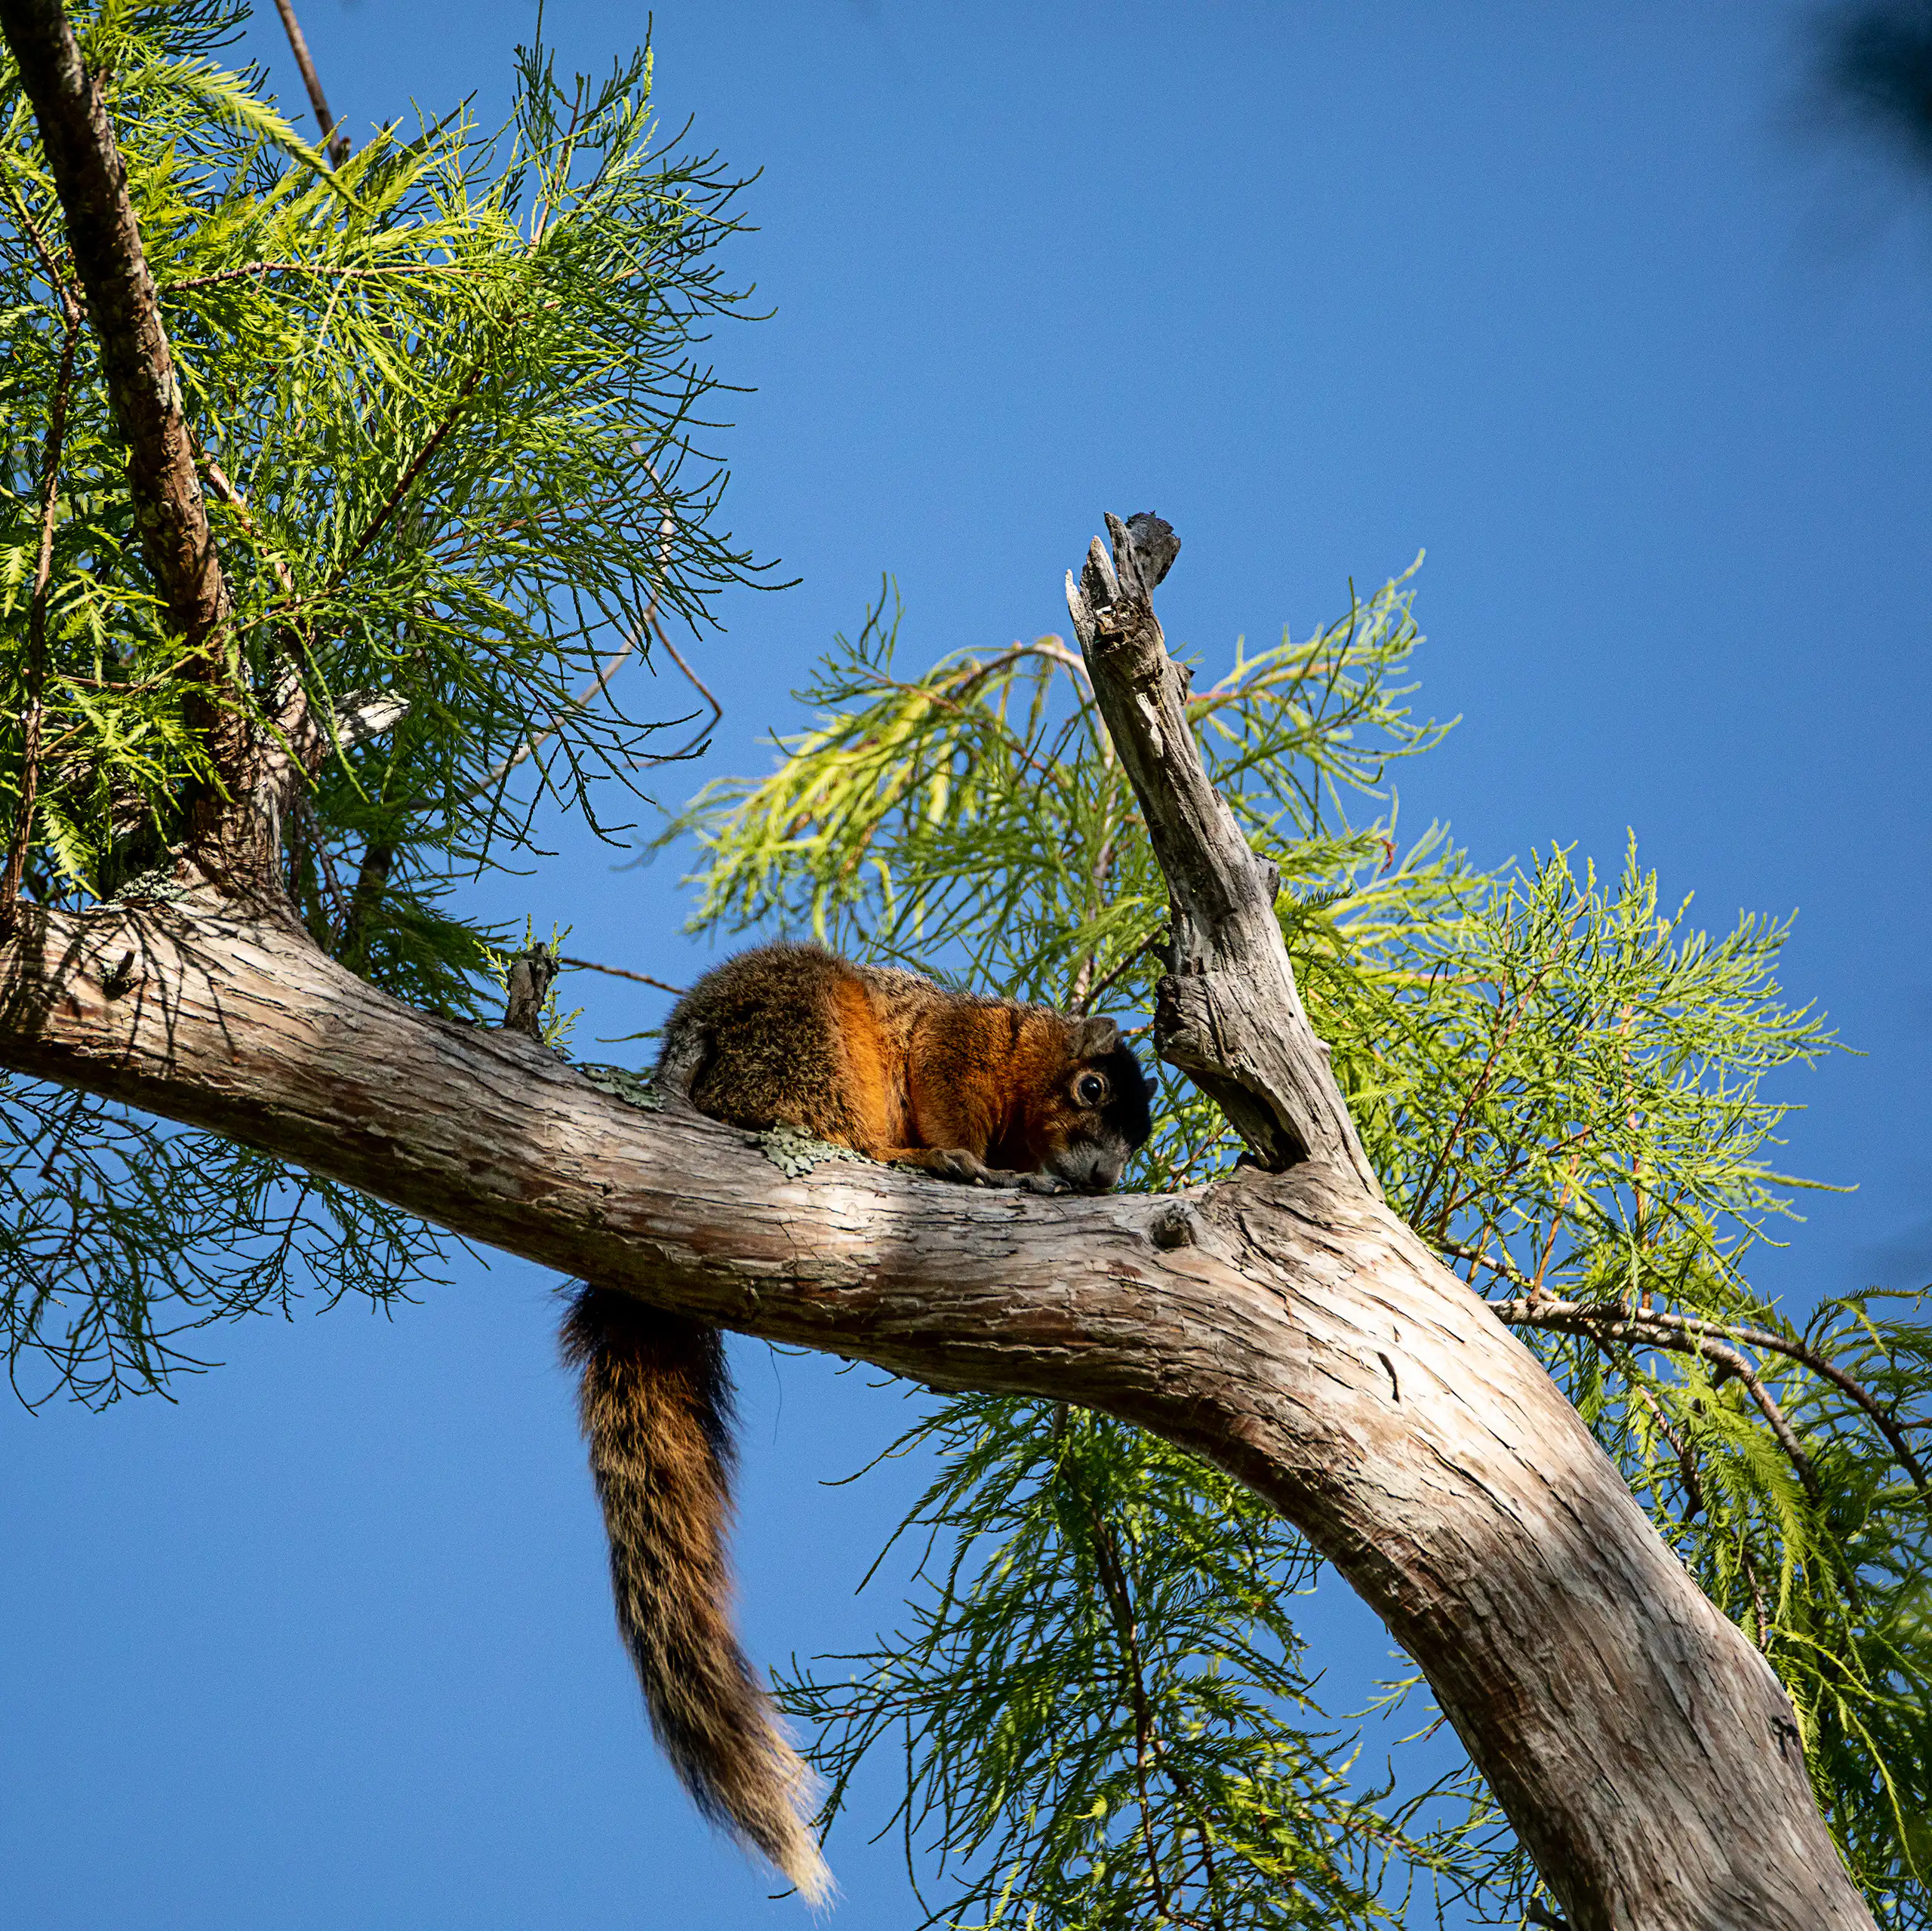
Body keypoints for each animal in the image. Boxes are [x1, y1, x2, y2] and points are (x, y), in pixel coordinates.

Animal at [559, 943, 1152, 1902]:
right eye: (1091, 1088)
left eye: (1139, 1142)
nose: (1102, 1179)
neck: (1020, 1068)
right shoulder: (960, 1043)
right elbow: (947, 1083)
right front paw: (968, 1157)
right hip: (805, 1038)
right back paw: (916, 1158)